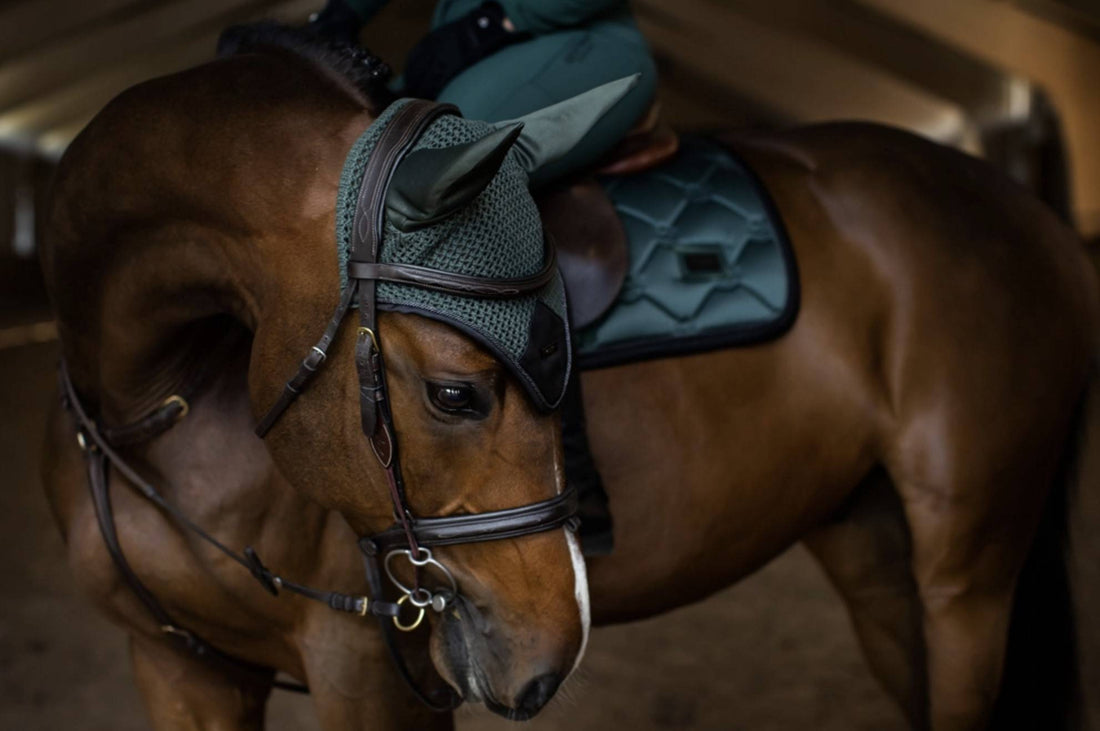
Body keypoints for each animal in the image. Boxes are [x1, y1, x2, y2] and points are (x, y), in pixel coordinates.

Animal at [38, 29, 1095, 729]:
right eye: (455, 393)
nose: (554, 655)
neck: (153, 405)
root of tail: (1027, 208)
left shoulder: (366, 677)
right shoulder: (179, 667)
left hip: (967, 574)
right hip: (871, 543)